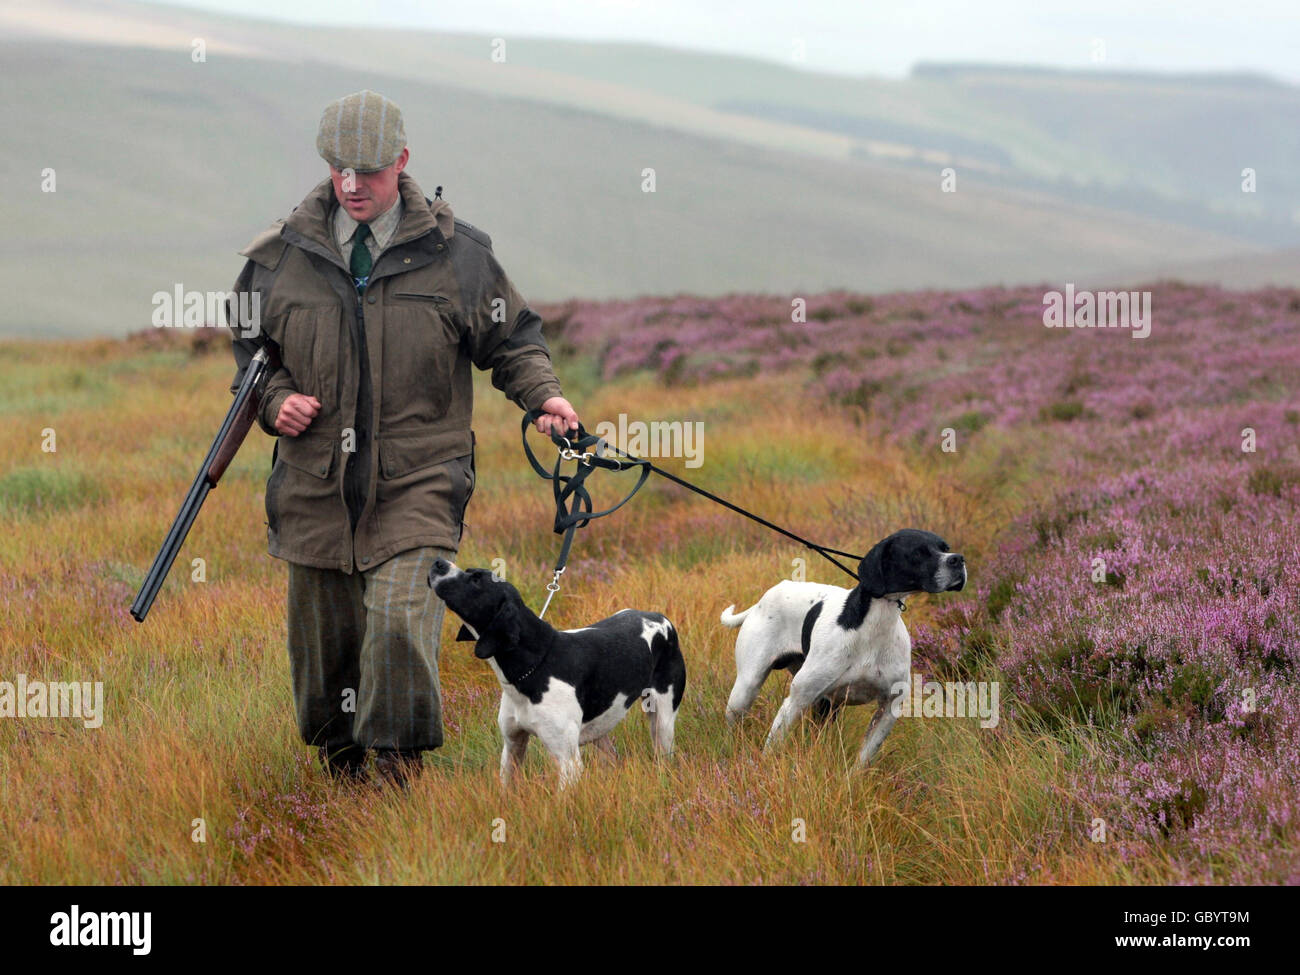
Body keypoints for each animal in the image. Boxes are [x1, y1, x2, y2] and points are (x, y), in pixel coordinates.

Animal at [428, 561, 691, 790]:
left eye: (475, 580)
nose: (439, 562)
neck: (536, 664)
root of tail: (660, 617)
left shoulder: (568, 762)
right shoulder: (512, 747)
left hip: (662, 723)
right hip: (600, 729)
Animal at [722, 535, 967, 769]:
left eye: (945, 548)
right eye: (918, 552)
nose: (958, 559)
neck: (875, 625)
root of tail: (762, 601)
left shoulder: (889, 708)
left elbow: (864, 759)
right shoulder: (796, 701)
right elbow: (772, 748)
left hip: (825, 707)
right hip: (745, 691)